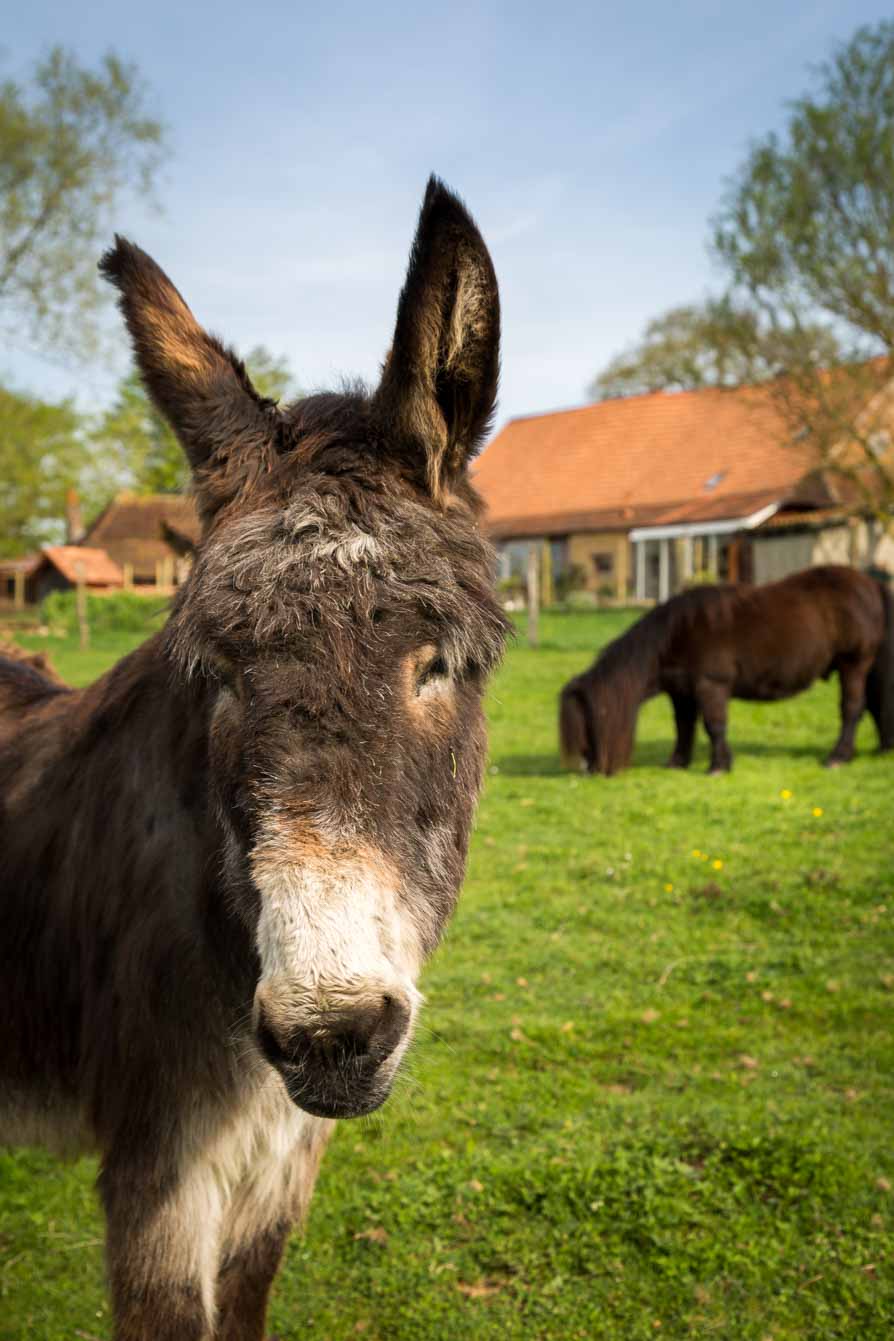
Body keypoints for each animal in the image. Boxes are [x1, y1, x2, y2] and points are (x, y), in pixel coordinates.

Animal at [560, 565, 894, 777]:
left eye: (588, 721)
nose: (588, 769)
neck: (675, 634)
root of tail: (870, 584)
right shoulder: (682, 694)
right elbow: (684, 728)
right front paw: (678, 763)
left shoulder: (711, 686)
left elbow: (714, 726)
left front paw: (718, 766)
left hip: (853, 664)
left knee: (852, 709)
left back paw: (838, 757)